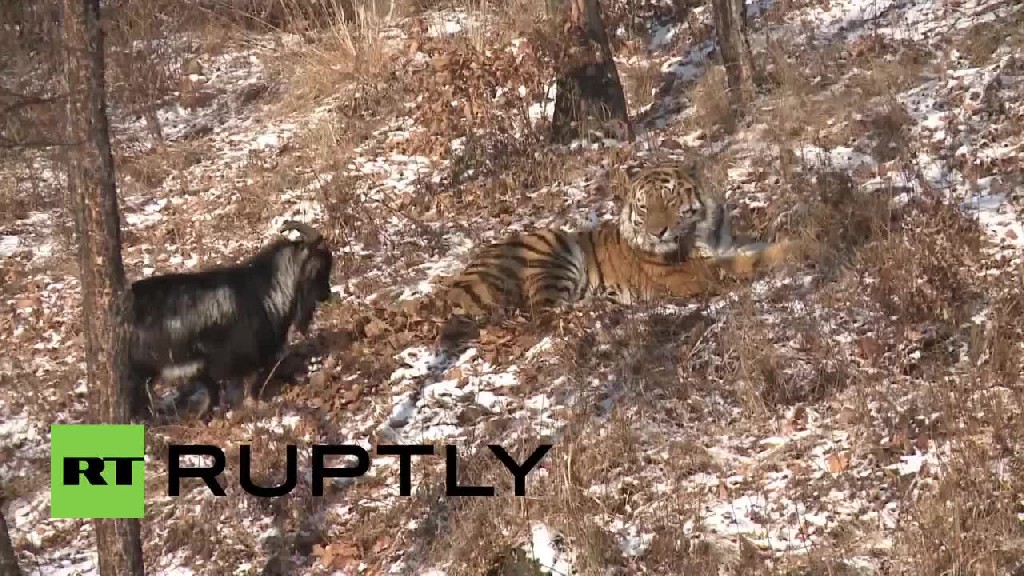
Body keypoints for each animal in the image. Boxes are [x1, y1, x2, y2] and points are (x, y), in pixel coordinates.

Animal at [436, 158, 808, 320]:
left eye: (669, 200)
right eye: (644, 207)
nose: (657, 232)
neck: (704, 229)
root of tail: (454, 283)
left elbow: (756, 246)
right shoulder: (693, 272)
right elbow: (752, 260)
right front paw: (806, 245)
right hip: (550, 246)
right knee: (544, 311)